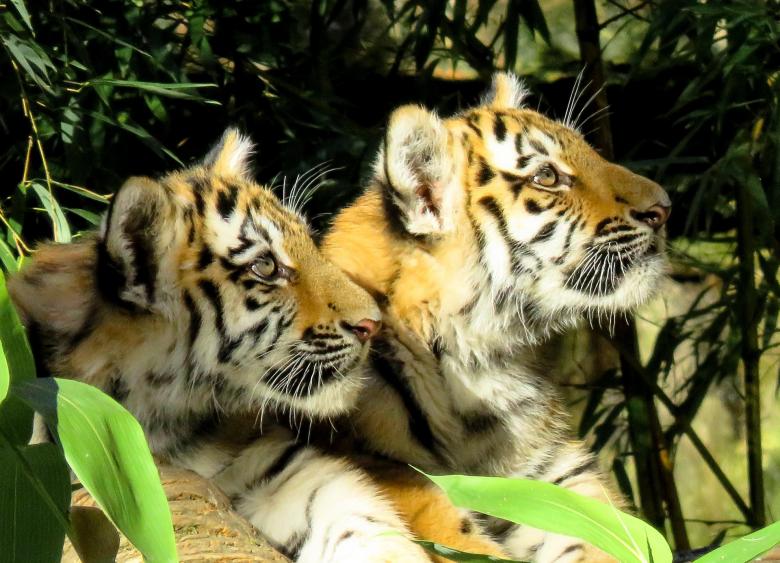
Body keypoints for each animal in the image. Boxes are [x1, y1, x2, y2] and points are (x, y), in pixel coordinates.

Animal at [10, 129, 505, 562]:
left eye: (309, 243)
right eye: (265, 267)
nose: (372, 324)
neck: (164, 417)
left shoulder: (279, 469)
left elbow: (363, 524)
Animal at [320, 72, 671, 562]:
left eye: (591, 151)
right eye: (547, 176)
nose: (665, 207)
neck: (475, 364)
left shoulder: (555, 473)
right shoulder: (392, 473)